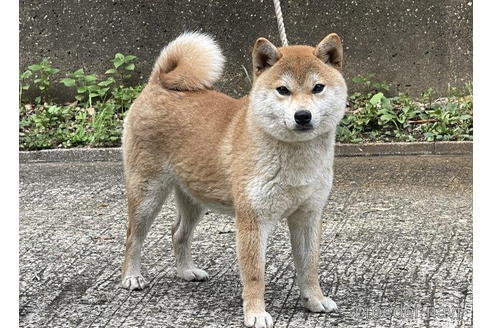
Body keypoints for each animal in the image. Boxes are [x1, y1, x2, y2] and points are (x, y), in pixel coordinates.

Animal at [121, 31, 348, 328]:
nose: (302, 116)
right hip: (147, 194)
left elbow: (309, 266)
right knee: (133, 236)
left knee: (178, 233)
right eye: (283, 90)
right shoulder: (252, 220)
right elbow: (255, 274)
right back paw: (131, 276)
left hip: (194, 198)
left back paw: (186, 271)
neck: (295, 158)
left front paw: (314, 300)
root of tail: (157, 82)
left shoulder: (308, 215)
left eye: (318, 87)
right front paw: (255, 313)